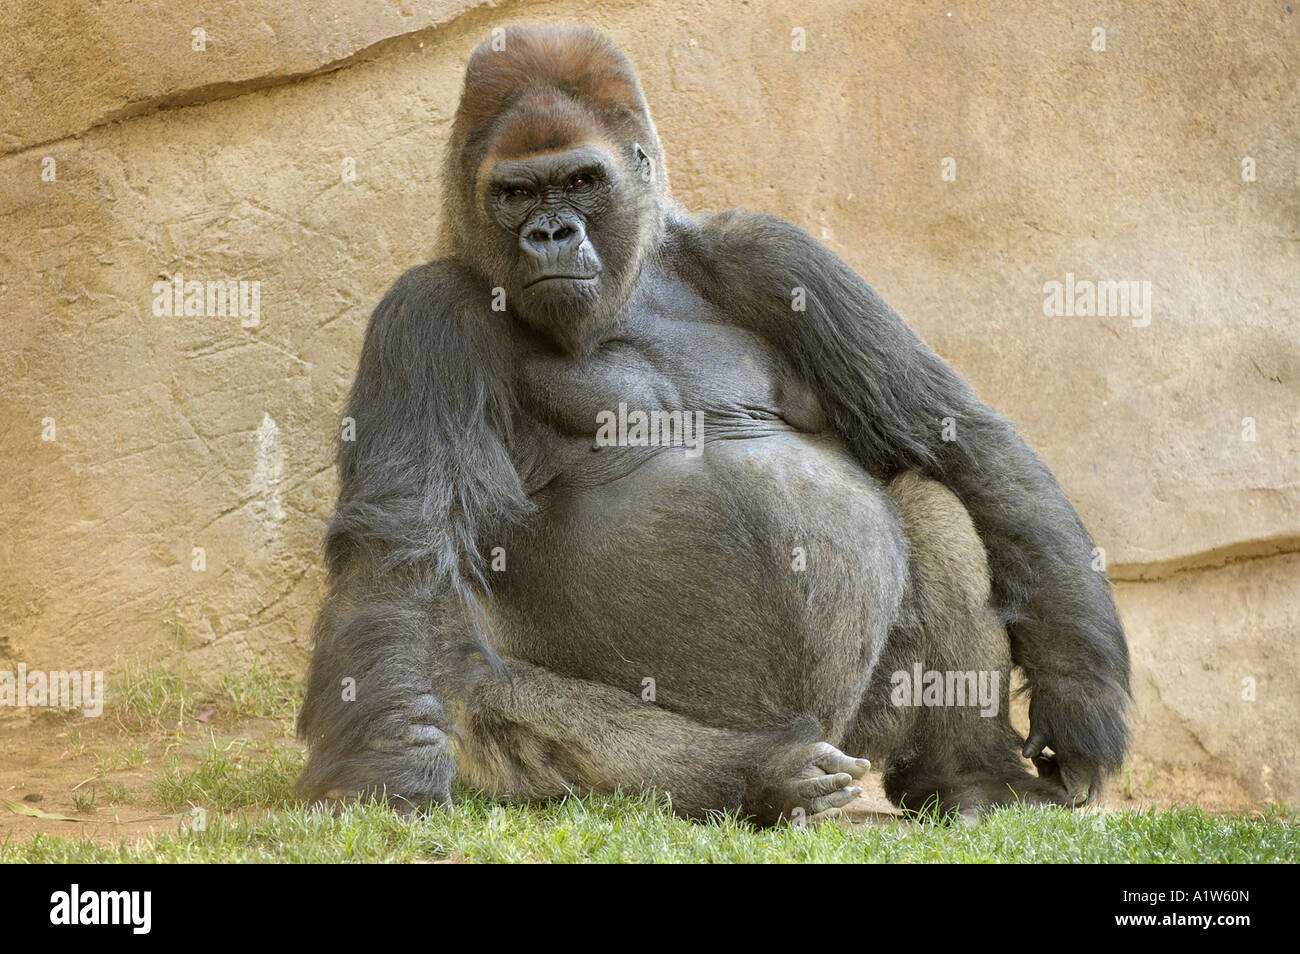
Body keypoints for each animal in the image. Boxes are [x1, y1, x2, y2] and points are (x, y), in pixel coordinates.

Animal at [295, 24, 1130, 825]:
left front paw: (1078, 692)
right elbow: (399, 559)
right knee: (466, 677)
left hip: (858, 727)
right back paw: (761, 777)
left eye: (581, 181)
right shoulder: (424, 313)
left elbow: (954, 433)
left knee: (938, 499)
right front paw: (385, 769)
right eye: (515, 192)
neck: (632, 283)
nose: (550, 235)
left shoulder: (773, 254)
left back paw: (972, 776)